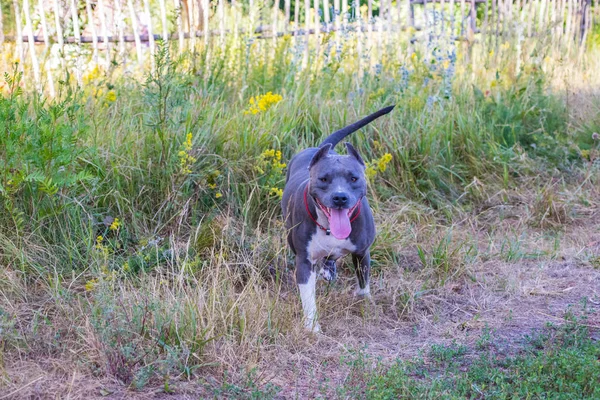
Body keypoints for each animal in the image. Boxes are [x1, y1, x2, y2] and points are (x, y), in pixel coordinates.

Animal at [280, 105, 394, 332]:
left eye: (354, 178)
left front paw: (364, 302)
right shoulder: (304, 261)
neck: (328, 227)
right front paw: (312, 328)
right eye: (324, 179)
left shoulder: (362, 252)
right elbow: (308, 297)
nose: (340, 197)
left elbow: (363, 282)